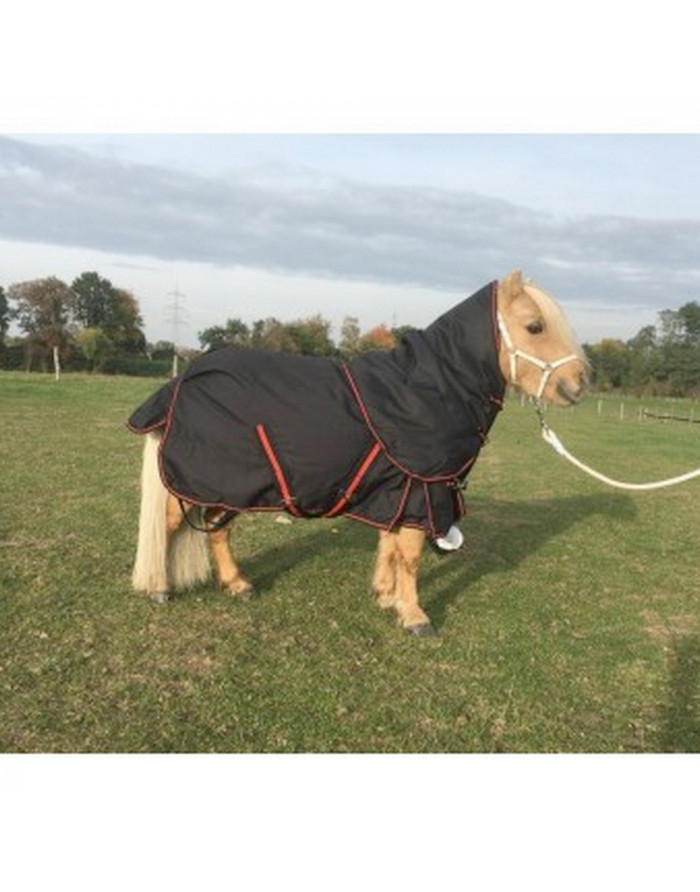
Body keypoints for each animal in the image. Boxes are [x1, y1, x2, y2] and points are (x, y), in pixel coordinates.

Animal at [127, 270, 584, 636]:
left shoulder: (398, 486)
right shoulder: (423, 485)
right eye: (535, 326)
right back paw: (160, 589)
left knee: (216, 529)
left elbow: (391, 544)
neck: (427, 389)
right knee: (169, 526)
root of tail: (181, 381)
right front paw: (414, 615)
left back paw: (238, 585)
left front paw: (386, 596)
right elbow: (410, 555)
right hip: (201, 478)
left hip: (229, 484)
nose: (580, 382)